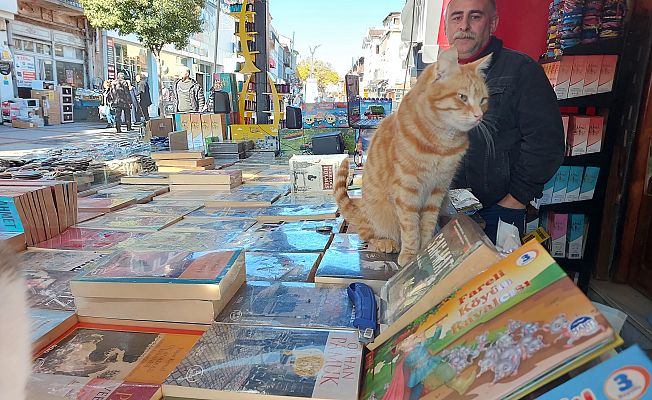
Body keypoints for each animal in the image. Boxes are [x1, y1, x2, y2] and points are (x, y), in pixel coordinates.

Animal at [336, 46, 488, 266]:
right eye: (462, 97)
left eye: (484, 100)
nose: (479, 116)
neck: (442, 144)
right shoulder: (407, 191)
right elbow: (409, 226)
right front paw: (409, 252)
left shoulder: (437, 190)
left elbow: (427, 224)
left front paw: (425, 248)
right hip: (376, 212)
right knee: (366, 235)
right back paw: (384, 242)